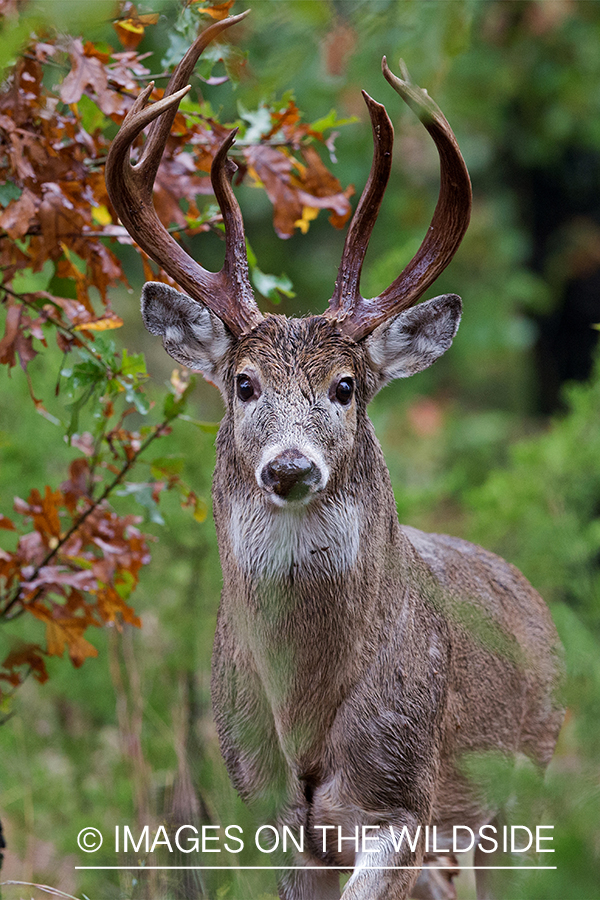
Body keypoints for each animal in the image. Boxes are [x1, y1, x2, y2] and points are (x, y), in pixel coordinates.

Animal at [105, 8, 564, 900]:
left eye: (346, 386)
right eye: (243, 383)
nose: (290, 467)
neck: (307, 725)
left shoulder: (403, 802)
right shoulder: (264, 810)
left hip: (519, 792)